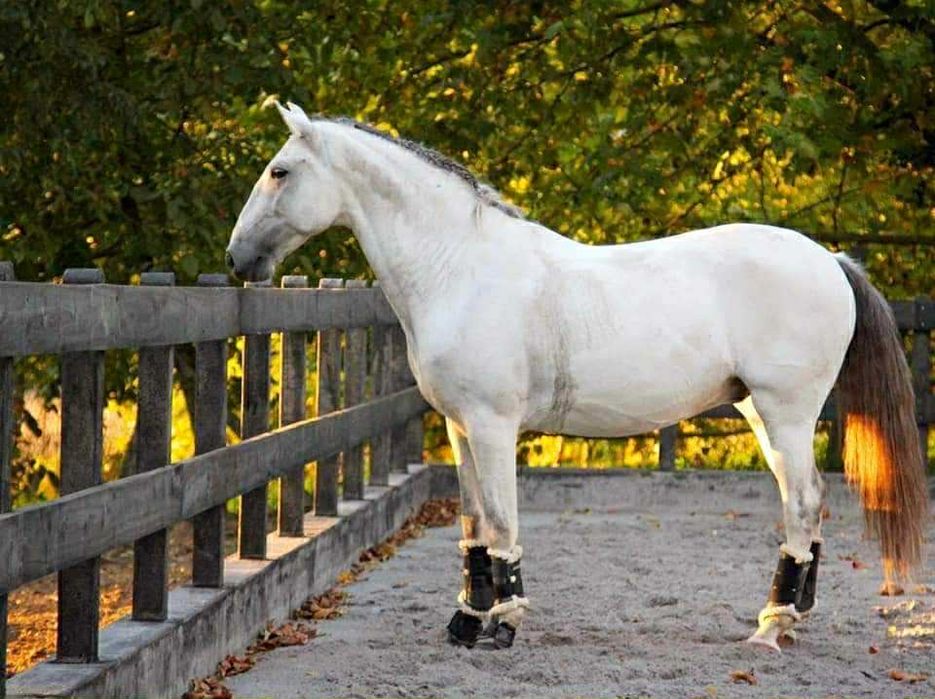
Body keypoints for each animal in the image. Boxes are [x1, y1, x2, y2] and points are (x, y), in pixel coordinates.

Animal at [226, 102, 927, 652]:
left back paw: (774, 626)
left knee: (804, 503)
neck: (459, 267)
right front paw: (466, 619)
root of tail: (831, 260)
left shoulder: (492, 425)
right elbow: (473, 524)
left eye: (280, 171)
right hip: (759, 412)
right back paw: (787, 617)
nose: (237, 259)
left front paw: (503, 625)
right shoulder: (458, 427)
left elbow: (502, 522)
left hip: (787, 413)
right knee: (805, 503)